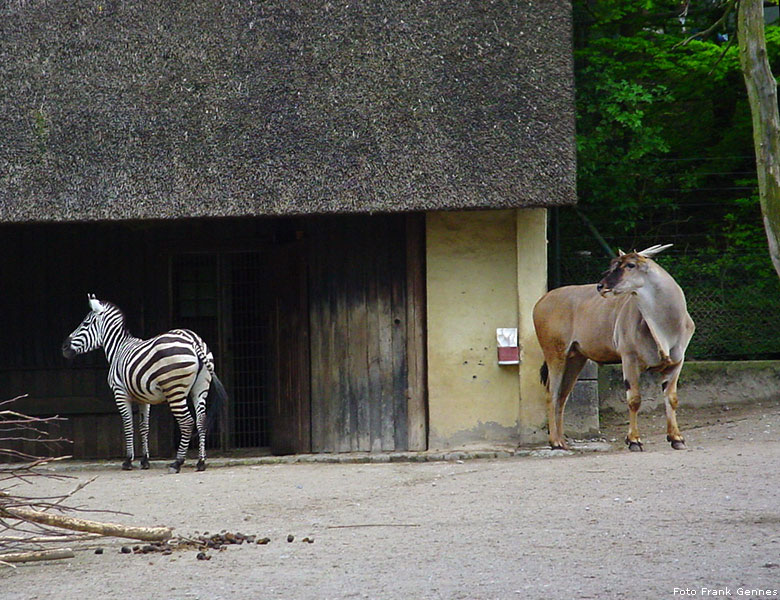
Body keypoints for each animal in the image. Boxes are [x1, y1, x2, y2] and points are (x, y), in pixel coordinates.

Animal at [61, 296, 227, 474]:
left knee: (187, 422)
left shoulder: (120, 394)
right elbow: (144, 426)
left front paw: (128, 461)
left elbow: (128, 425)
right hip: (200, 388)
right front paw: (145, 460)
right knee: (201, 420)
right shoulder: (144, 398)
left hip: (174, 389)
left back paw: (177, 463)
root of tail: (193, 340)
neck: (118, 348)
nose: (64, 347)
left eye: (85, 324)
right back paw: (201, 462)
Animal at [536, 244, 696, 450]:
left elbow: (672, 399)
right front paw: (634, 440)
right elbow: (634, 399)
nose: (600, 286)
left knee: (563, 396)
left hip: (575, 359)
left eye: (630, 265)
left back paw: (562, 440)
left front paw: (676, 438)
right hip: (555, 355)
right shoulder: (629, 359)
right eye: (614, 265)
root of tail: (541, 302)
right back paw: (555, 441)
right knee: (552, 393)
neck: (668, 326)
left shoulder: (676, 363)